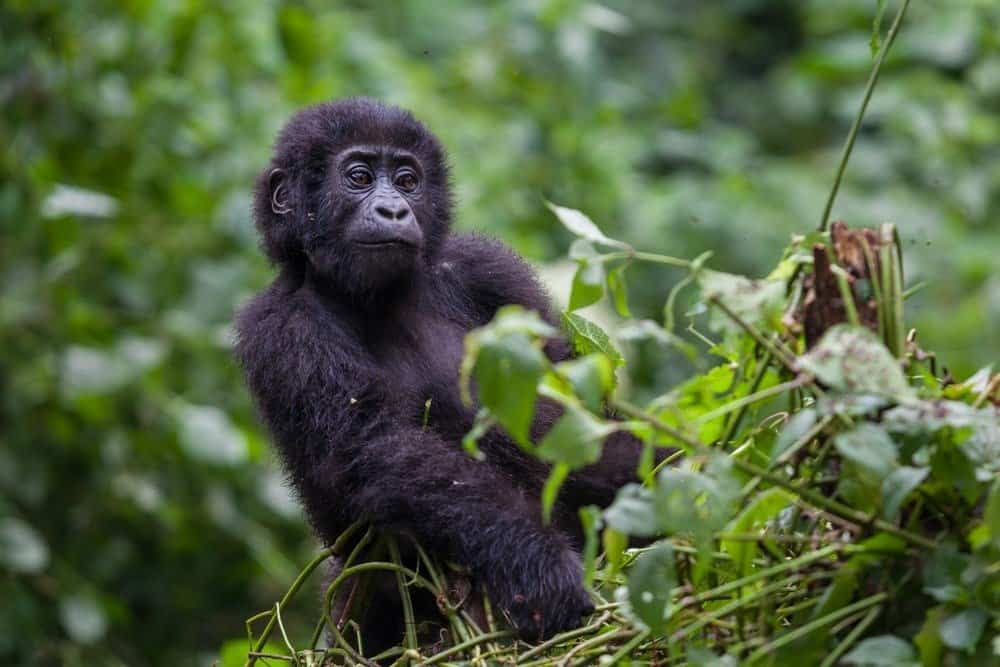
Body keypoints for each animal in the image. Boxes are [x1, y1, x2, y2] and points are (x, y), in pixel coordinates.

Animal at [235, 96, 648, 648]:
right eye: (359, 176)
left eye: (408, 180)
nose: (393, 209)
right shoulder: (280, 327)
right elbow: (379, 444)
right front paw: (536, 563)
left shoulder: (488, 268)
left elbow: (576, 418)